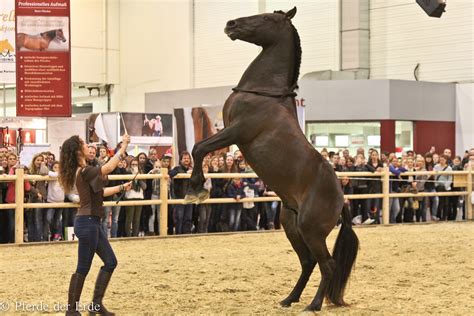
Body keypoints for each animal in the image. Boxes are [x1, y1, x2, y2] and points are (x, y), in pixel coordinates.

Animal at [185, 7, 360, 312]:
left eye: (267, 18)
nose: (231, 24)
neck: (263, 93)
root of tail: (342, 200)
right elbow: (200, 148)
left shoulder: (237, 132)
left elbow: (199, 148)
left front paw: (196, 189)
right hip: (291, 225)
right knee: (308, 262)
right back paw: (289, 299)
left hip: (311, 231)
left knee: (327, 264)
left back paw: (313, 304)